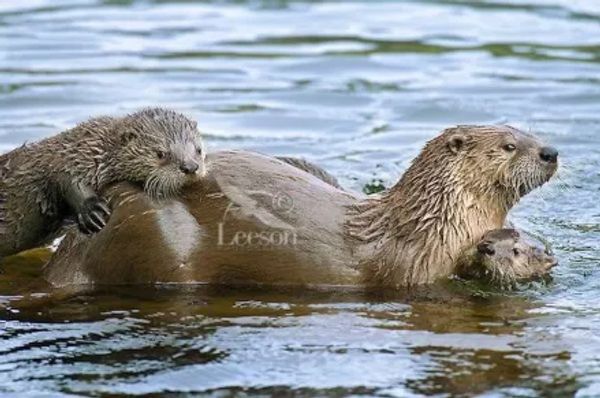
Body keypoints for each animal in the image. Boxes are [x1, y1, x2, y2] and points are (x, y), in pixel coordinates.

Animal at [0, 107, 205, 260]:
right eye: (160, 153)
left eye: (198, 149)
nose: (190, 167)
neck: (95, 148)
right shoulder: (62, 161)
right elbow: (64, 180)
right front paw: (92, 211)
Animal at [42, 125, 556, 290]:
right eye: (511, 145)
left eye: (533, 134)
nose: (550, 151)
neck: (435, 223)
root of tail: (72, 250)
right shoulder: (413, 270)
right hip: (153, 233)